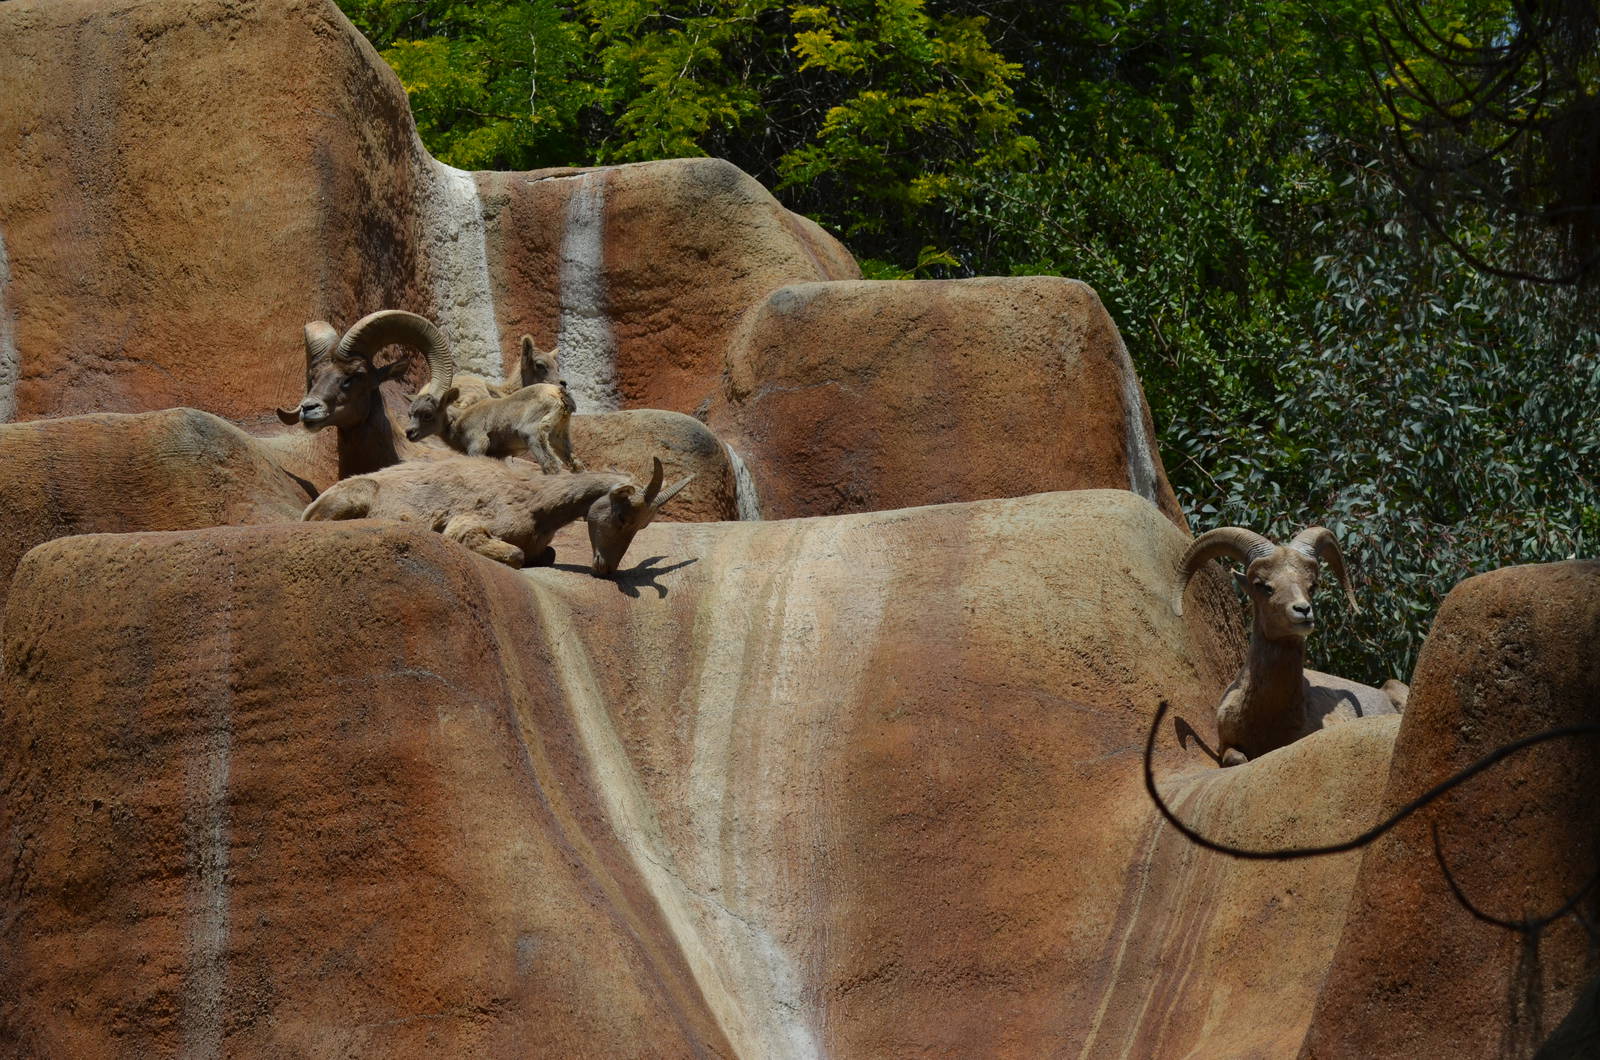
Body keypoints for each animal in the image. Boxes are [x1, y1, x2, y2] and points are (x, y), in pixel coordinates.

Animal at [302, 454, 693, 576]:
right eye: (624, 517)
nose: (606, 568)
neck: (536, 503)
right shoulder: (470, 525)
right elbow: (515, 555)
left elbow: (547, 555)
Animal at [1174, 525, 1405, 766]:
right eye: (1261, 585)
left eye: (1312, 585)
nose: (1303, 611)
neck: (1269, 716)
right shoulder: (1227, 744)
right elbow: (1237, 759)